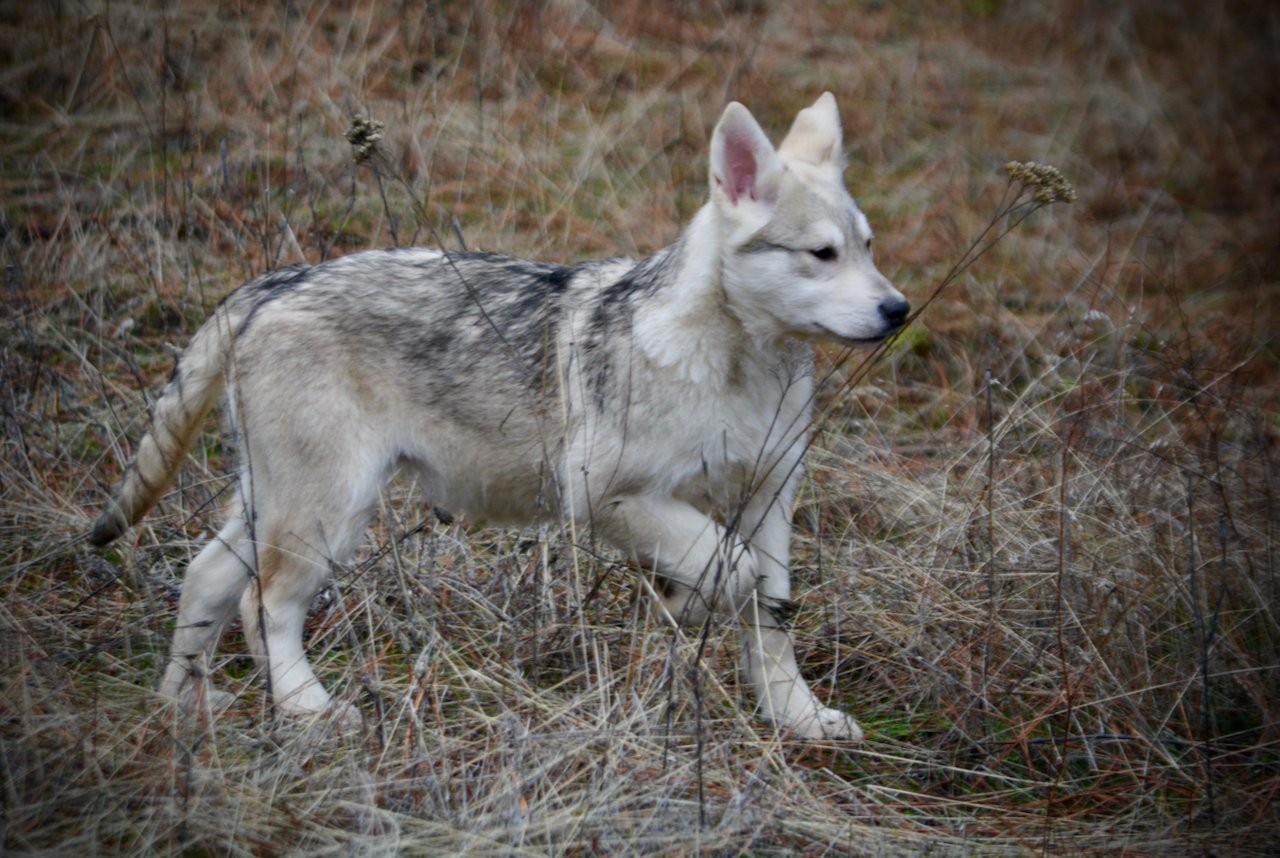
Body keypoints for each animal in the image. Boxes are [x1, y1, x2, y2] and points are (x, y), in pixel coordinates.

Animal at [90, 92, 906, 737]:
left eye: (869, 248)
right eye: (821, 254)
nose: (898, 310)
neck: (738, 364)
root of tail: (271, 283)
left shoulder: (770, 501)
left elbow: (769, 621)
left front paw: (798, 719)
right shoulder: (606, 494)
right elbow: (729, 573)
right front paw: (684, 606)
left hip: (277, 505)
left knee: (205, 579)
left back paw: (184, 706)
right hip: (329, 513)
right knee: (264, 606)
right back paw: (310, 712)